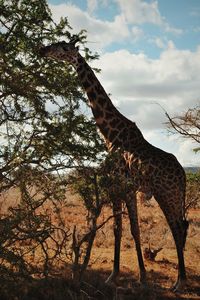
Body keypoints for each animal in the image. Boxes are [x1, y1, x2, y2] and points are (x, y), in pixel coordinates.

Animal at [40, 37, 189, 290]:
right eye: (55, 44)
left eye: (63, 48)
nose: (42, 49)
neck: (110, 134)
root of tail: (183, 175)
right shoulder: (125, 187)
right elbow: (128, 229)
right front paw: (133, 275)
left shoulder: (120, 184)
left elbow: (124, 229)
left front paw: (122, 275)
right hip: (176, 195)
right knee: (183, 226)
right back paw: (180, 279)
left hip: (166, 193)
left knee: (178, 229)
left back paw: (179, 283)